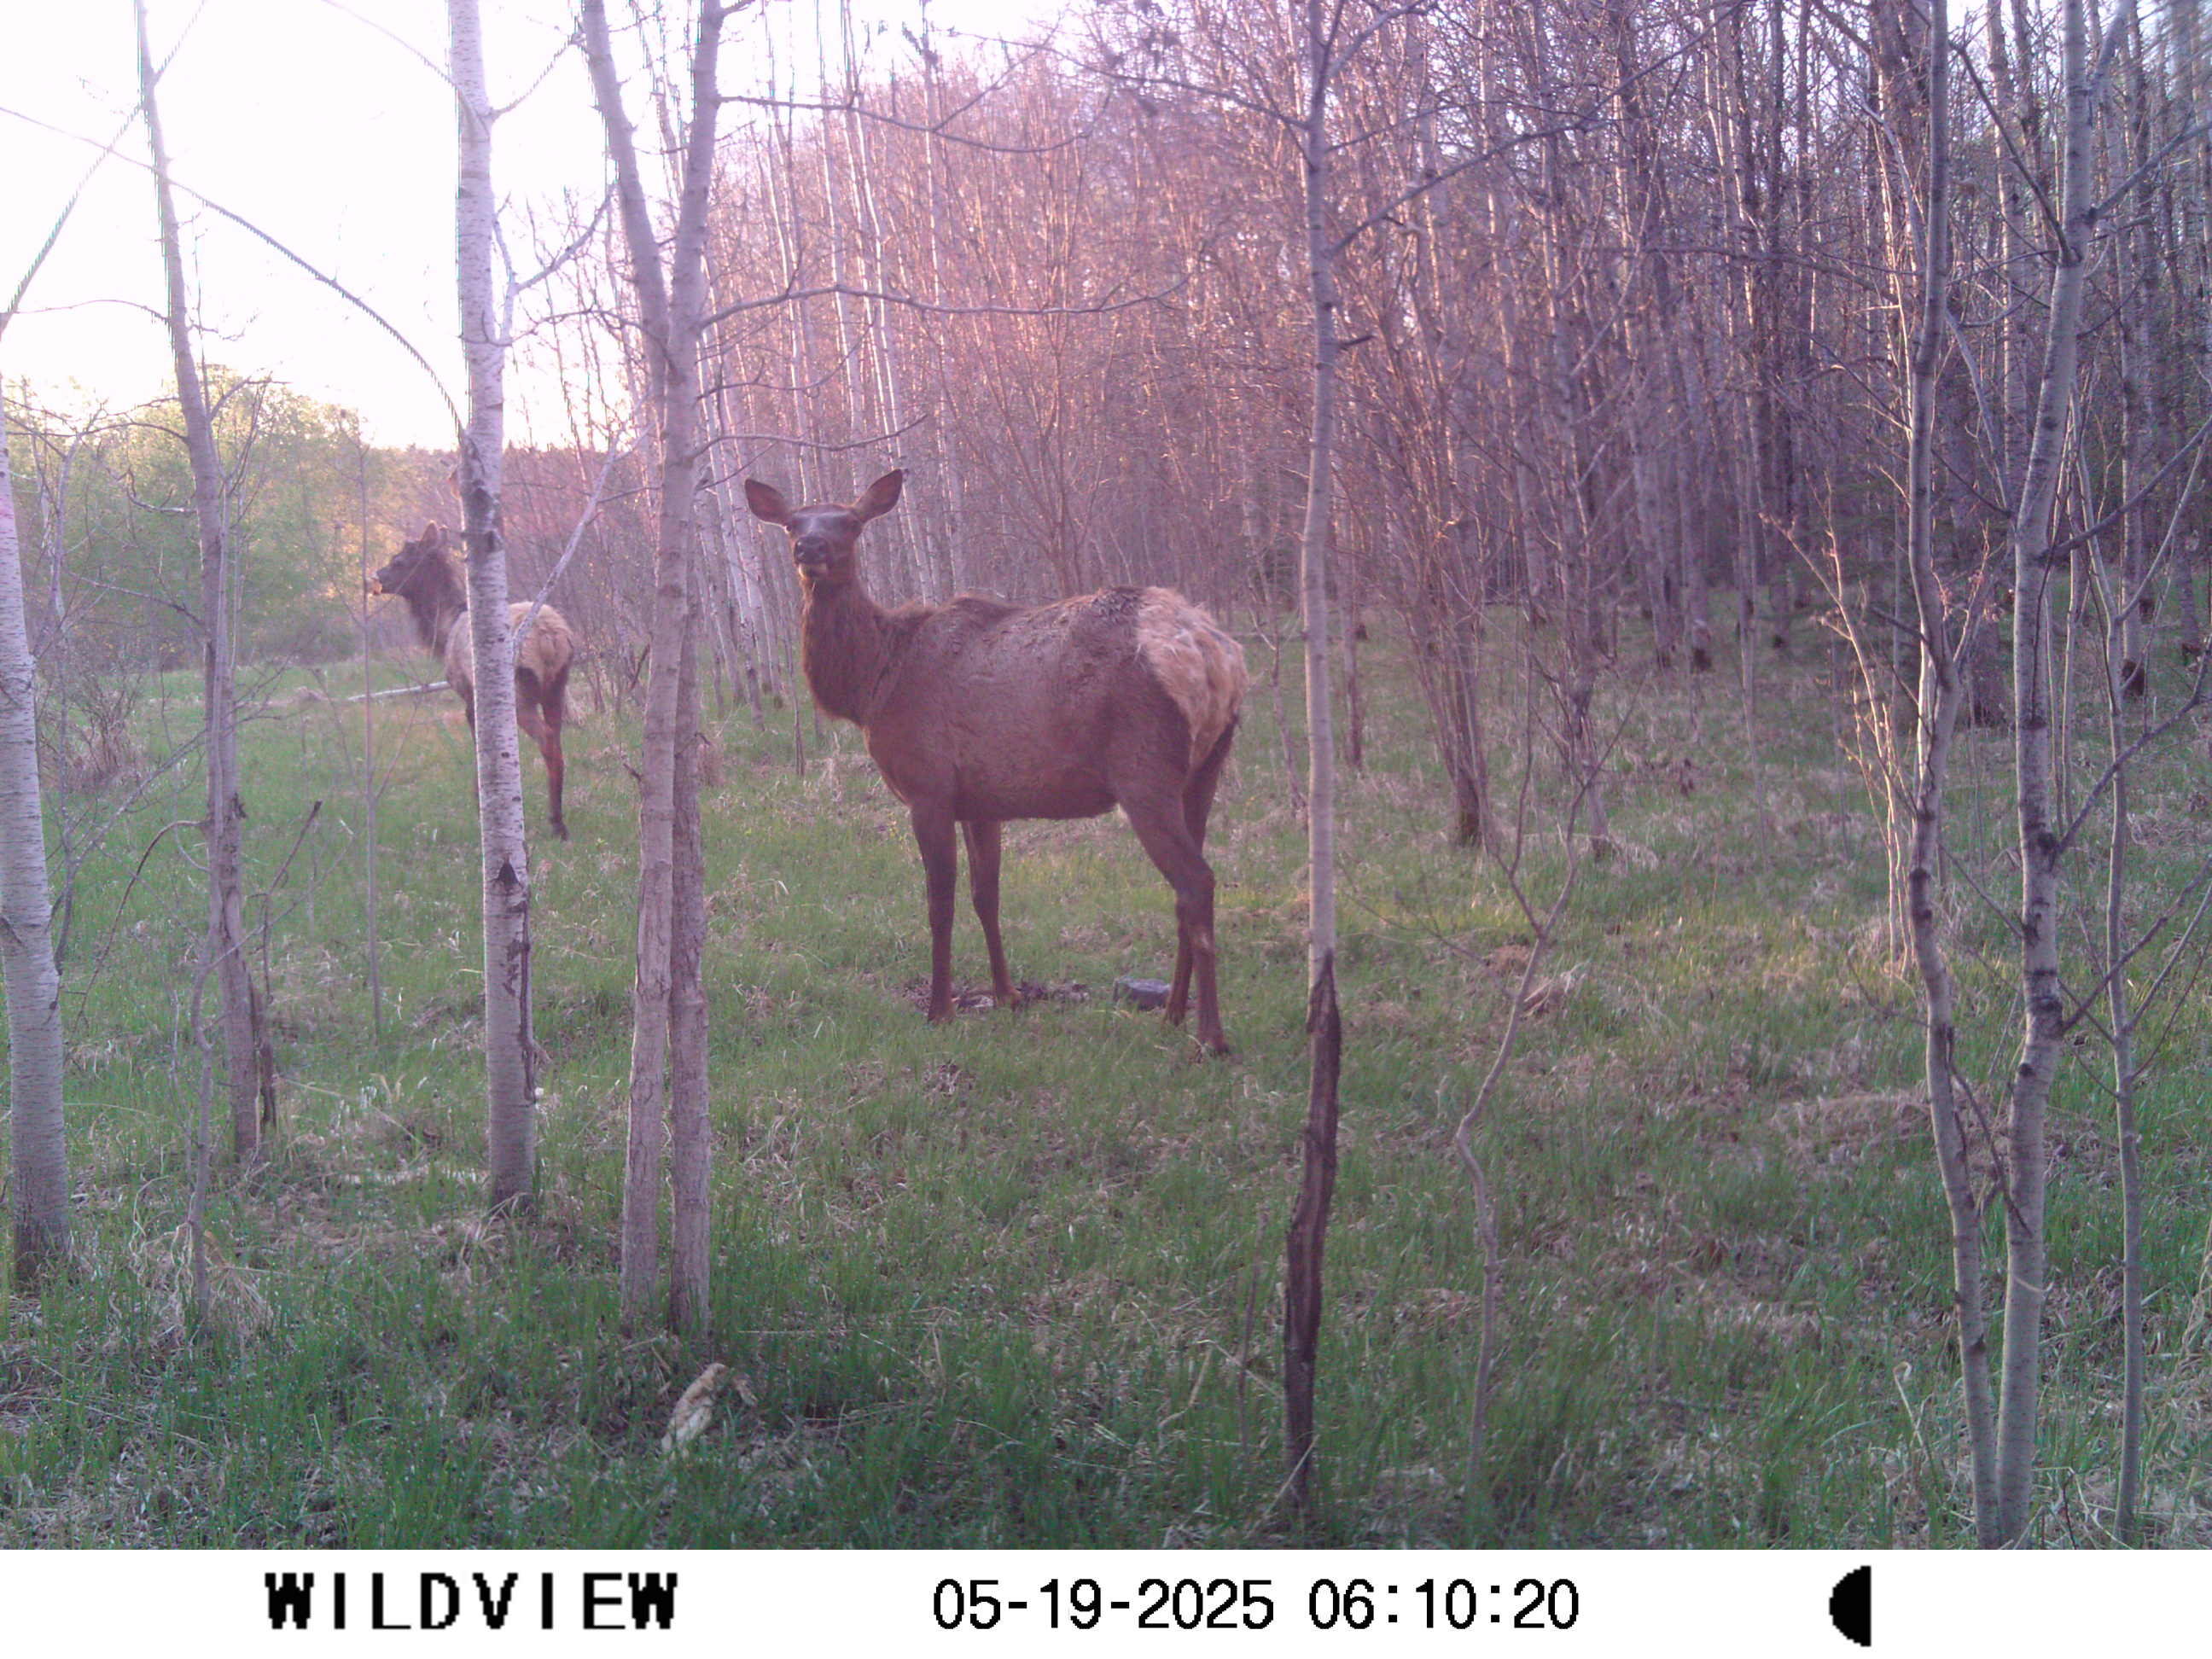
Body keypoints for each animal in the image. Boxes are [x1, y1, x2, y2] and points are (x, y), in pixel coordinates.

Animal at [368, 523, 576, 839]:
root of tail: (551, 638)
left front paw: (481, 804)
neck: (444, 630)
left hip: (518, 691)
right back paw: (560, 819)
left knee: (548, 740)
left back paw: (555, 821)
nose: (377, 578)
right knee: (559, 741)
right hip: (557, 686)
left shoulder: (468, 694)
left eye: (399, 561)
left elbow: (480, 749)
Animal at [745, 469, 1248, 1054]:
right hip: (1205, 769)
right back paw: (1170, 1012)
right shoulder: (982, 801)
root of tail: (1219, 657)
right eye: (791, 523)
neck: (873, 686)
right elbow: (988, 897)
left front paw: (940, 1010)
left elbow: (940, 903)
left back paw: (1211, 1035)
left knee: (1197, 882)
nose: (810, 549)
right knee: (1188, 891)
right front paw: (1007, 995)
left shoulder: (929, 787)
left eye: (849, 523)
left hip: (1144, 771)